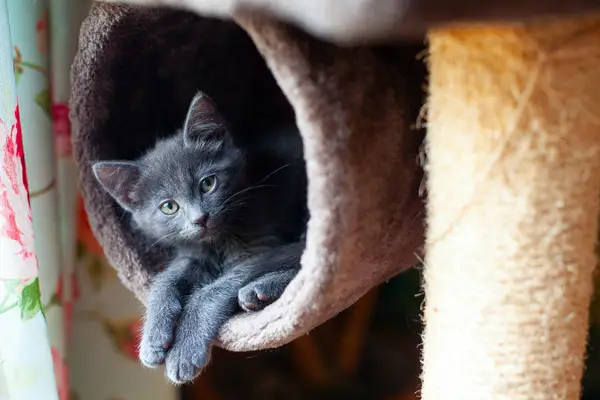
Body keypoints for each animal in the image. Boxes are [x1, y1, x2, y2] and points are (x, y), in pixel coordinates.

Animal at [95, 92, 310, 382]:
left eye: (207, 184)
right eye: (169, 207)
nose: (200, 218)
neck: (218, 240)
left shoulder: (263, 245)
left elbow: (217, 287)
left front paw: (185, 351)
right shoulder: (193, 252)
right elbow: (165, 278)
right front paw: (153, 335)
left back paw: (260, 290)